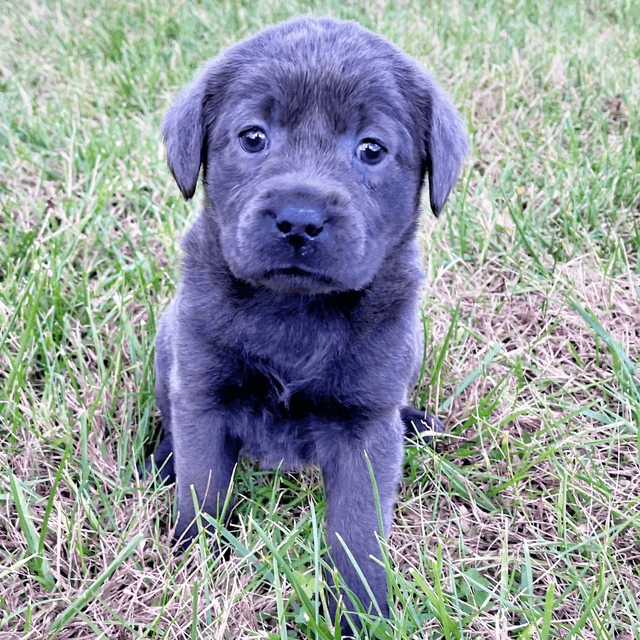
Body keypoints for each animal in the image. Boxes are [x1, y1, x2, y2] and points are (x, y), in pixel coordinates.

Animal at [151, 16, 468, 636]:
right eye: (253, 137)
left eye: (371, 149)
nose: (299, 219)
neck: (294, 312)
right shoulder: (202, 393)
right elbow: (203, 485)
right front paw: (195, 560)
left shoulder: (366, 428)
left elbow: (358, 529)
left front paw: (360, 612)